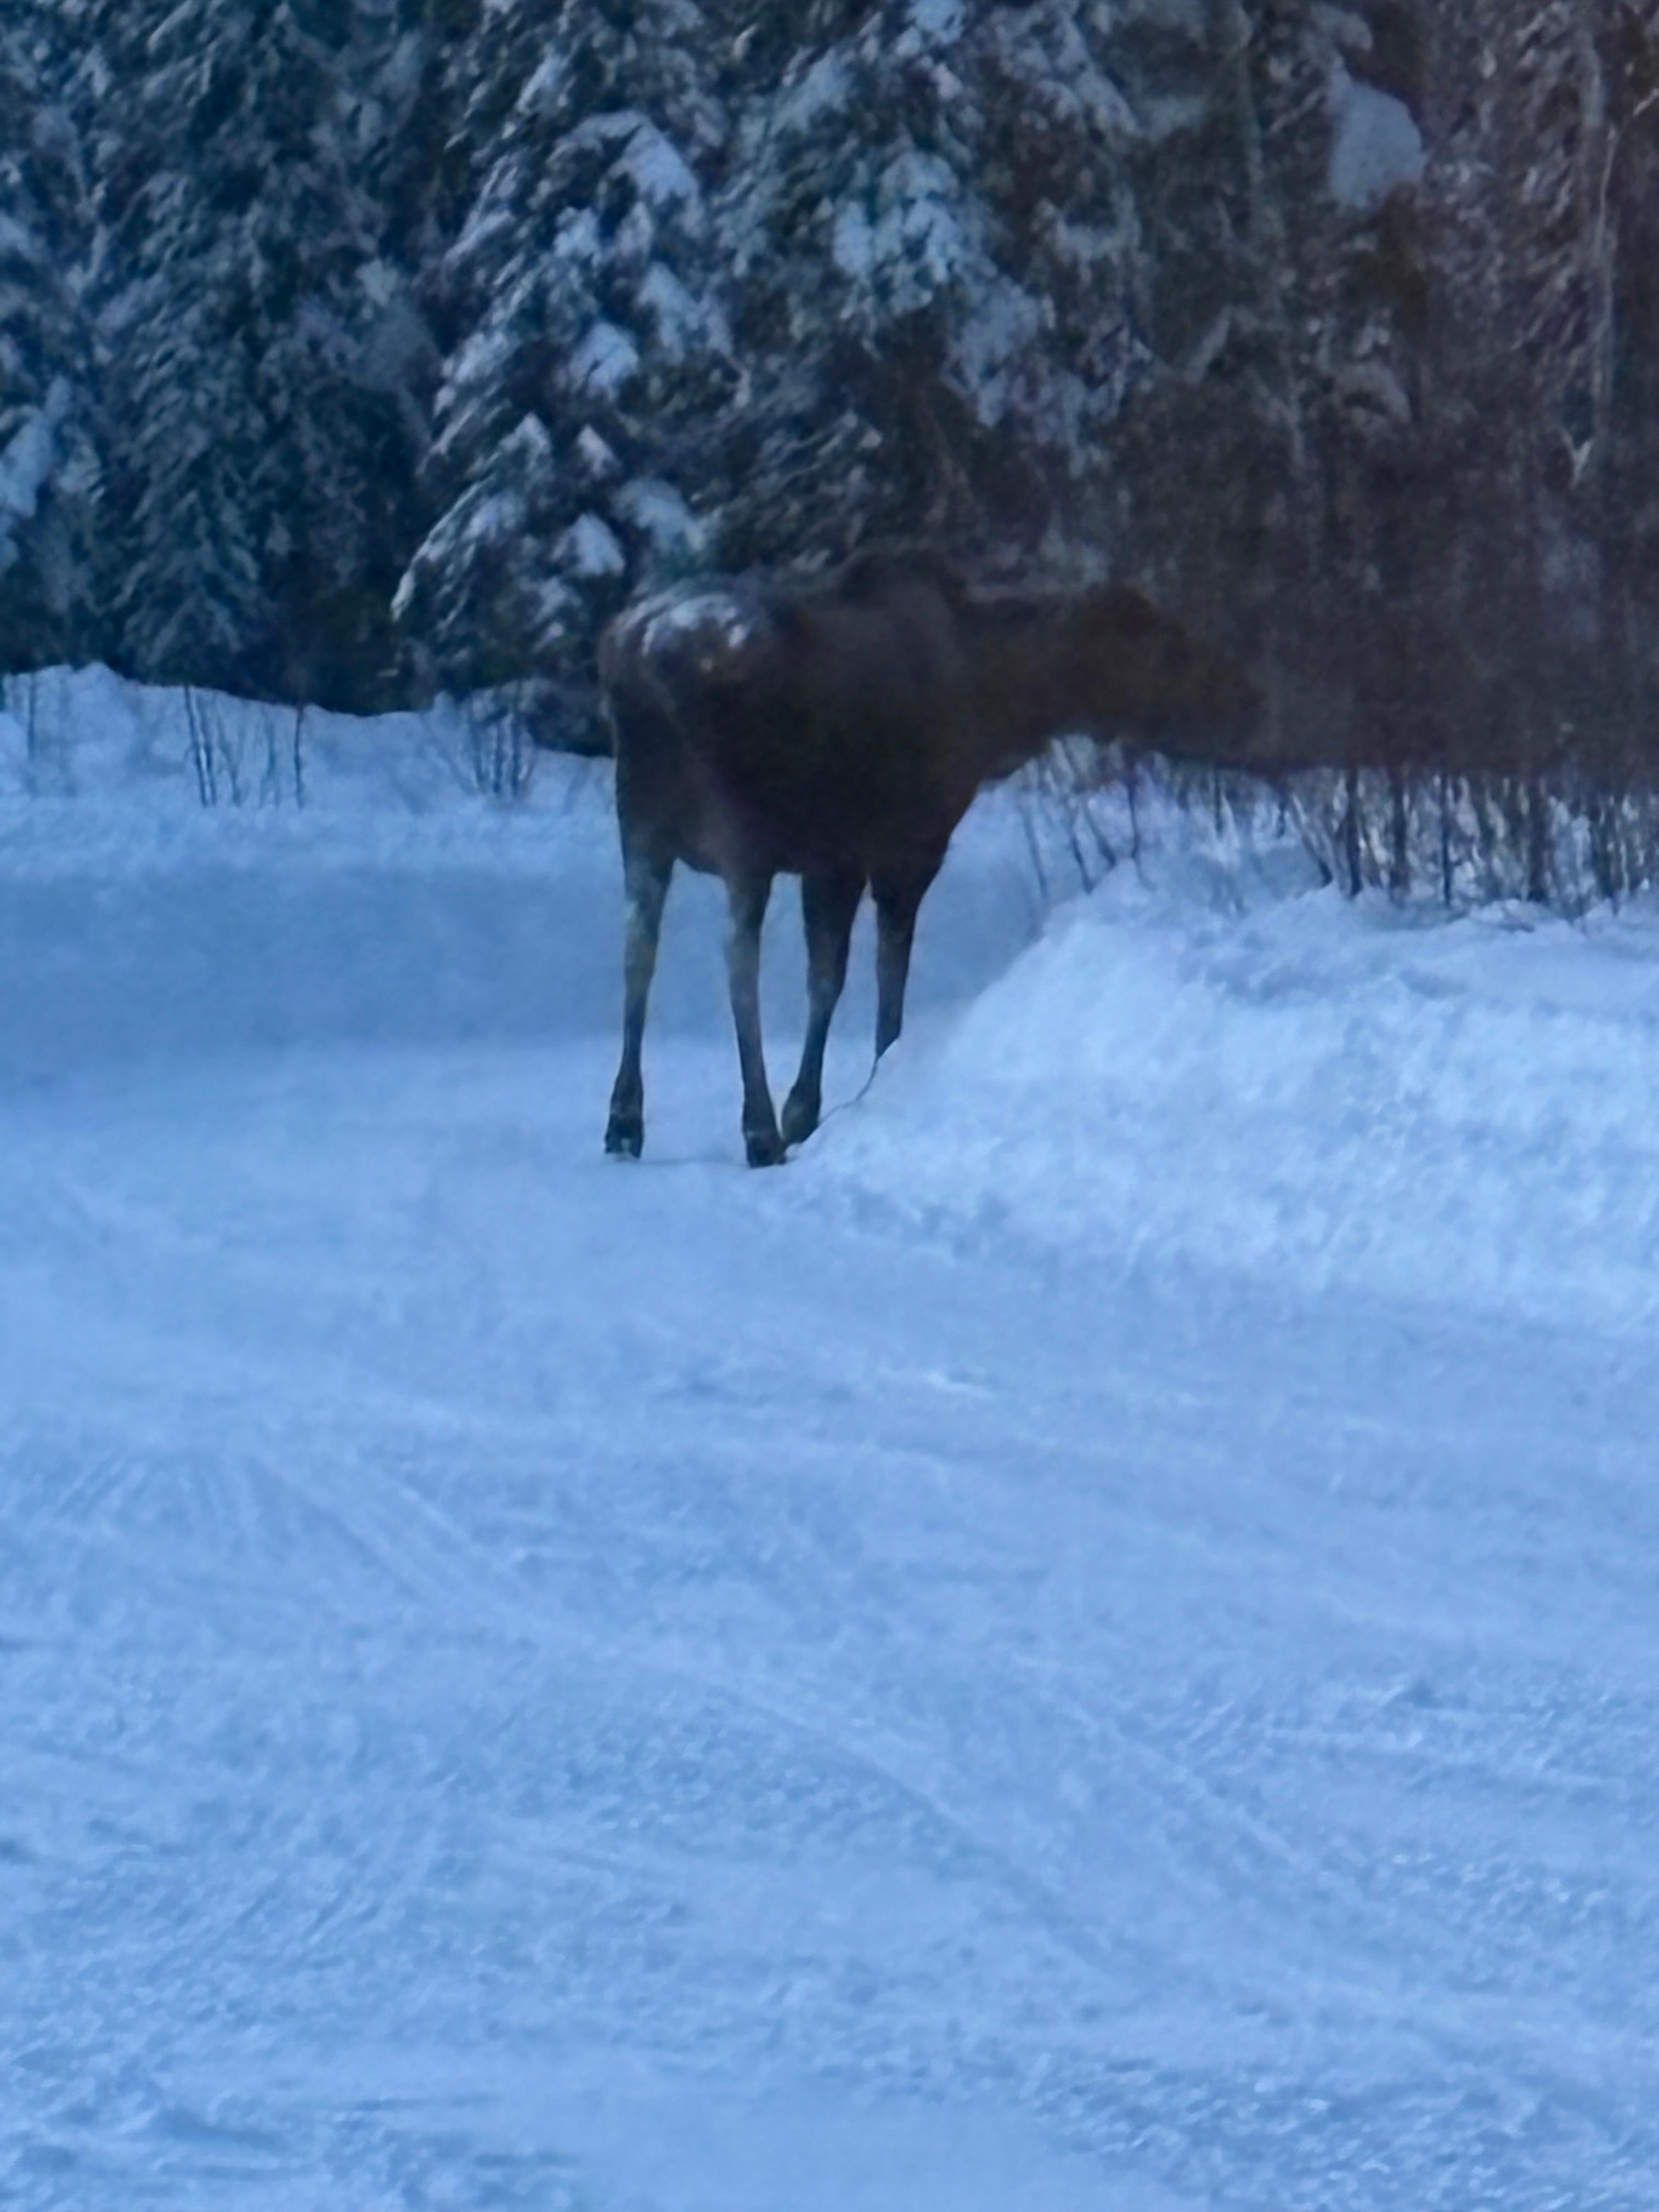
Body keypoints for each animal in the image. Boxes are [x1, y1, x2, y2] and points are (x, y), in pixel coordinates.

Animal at [598, 547, 1257, 1166]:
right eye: (1166, 645)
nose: (1237, 691)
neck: (998, 710)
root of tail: (644, 648)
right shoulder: (892, 849)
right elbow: (865, 977)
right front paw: (817, 1105)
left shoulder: (830, 860)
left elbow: (835, 976)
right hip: (742, 832)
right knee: (737, 958)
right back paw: (757, 1129)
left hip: (640, 821)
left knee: (637, 950)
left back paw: (624, 1120)